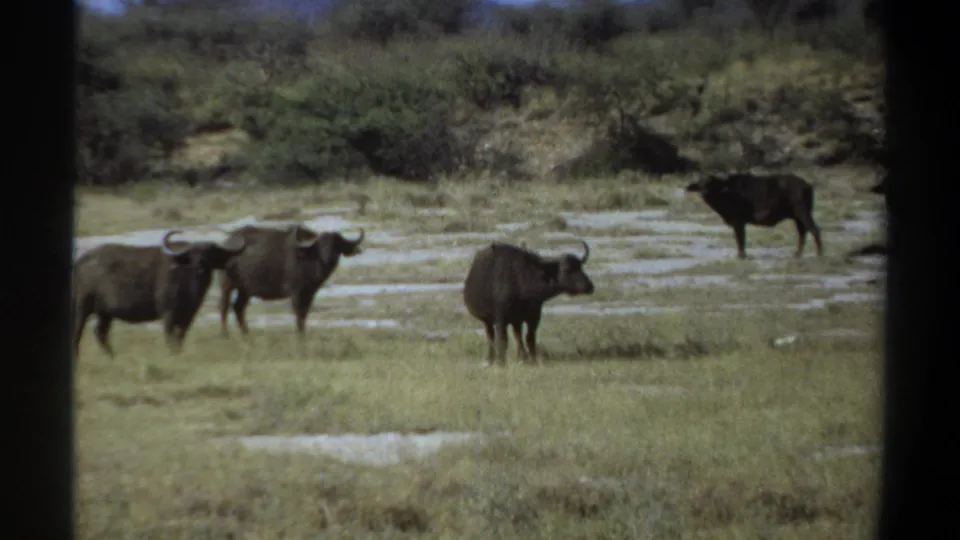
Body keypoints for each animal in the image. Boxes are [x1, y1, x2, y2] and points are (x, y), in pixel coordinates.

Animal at [73, 230, 247, 357]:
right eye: (192, 254)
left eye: (211, 253)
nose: (200, 267)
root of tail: (81, 261)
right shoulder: (168, 312)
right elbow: (170, 335)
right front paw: (171, 353)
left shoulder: (189, 315)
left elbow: (181, 335)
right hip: (82, 307)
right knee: (79, 331)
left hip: (105, 313)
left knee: (100, 332)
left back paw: (111, 356)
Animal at [218, 224, 365, 337]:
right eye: (321, 245)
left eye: (337, 244)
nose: (329, 257)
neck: (309, 258)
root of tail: (227, 242)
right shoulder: (295, 293)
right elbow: (298, 313)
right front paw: (299, 334)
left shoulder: (310, 294)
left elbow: (304, 314)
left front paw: (303, 333)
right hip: (227, 285)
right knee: (224, 307)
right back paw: (225, 334)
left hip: (245, 290)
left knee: (238, 308)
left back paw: (246, 333)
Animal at [463, 240, 595, 366]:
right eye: (567, 269)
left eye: (580, 267)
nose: (589, 286)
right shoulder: (500, 319)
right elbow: (502, 340)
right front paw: (501, 362)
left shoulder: (534, 317)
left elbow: (529, 338)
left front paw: (534, 359)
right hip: (488, 321)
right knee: (491, 337)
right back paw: (490, 359)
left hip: (516, 320)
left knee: (517, 336)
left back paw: (522, 357)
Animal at [685, 172, 824, 259]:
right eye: (700, 183)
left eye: (712, 183)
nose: (704, 192)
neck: (728, 193)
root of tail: (807, 186)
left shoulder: (738, 222)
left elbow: (740, 240)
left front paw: (741, 256)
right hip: (797, 217)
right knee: (802, 233)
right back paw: (797, 254)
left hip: (803, 212)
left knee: (814, 230)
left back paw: (819, 254)